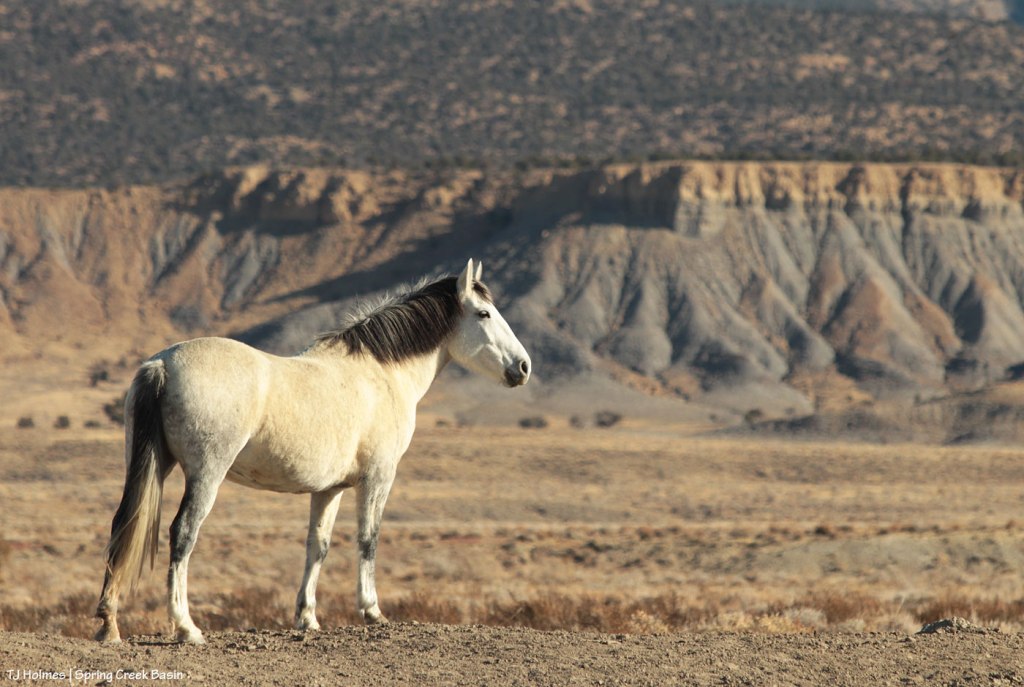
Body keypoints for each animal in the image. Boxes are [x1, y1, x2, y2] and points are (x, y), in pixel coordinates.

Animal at [95, 259, 531, 644]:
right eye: (484, 314)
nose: (523, 367)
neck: (380, 373)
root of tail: (162, 365)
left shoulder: (329, 489)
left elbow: (317, 546)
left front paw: (307, 618)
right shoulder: (377, 478)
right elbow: (368, 539)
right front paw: (372, 611)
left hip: (150, 465)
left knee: (123, 525)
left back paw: (109, 624)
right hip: (206, 475)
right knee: (182, 534)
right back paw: (187, 627)